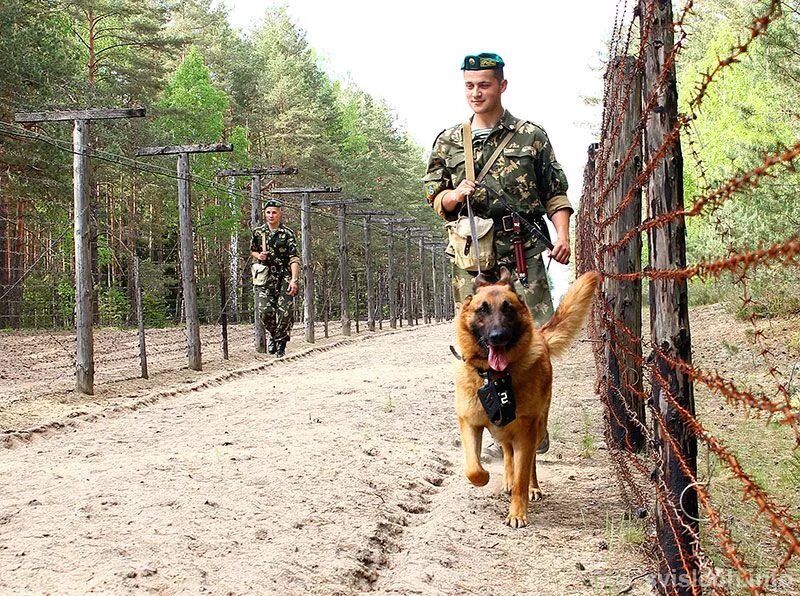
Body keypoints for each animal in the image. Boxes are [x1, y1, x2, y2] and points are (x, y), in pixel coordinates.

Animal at [456, 268, 600, 528]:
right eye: (482, 309)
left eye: (508, 309)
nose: (498, 336)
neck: (496, 378)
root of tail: (540, 335)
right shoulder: (470, 423)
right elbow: (474, 469)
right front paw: (487, 477)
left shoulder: (525, 432)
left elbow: (522, 476)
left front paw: (517, 513)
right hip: (506, 432)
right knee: (507, 453)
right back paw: (506, 480)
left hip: (538, 429)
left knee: (530, 461)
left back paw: (532, 488)